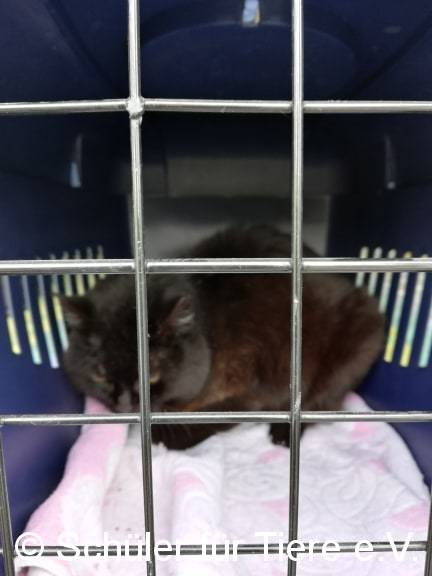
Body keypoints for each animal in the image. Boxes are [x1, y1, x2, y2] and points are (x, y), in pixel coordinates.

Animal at [62, 225, 385, 449]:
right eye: (100, 375)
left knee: (317, 402)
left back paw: (283, 435)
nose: (126, 406)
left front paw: (158, 436)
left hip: (357, 338)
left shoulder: (250, 391)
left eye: (151, 375)